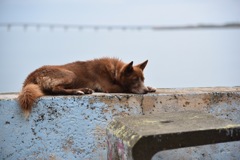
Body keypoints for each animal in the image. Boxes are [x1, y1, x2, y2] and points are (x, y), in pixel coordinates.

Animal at [17, 57, 156, 116]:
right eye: (134, 80)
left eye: (143, 79)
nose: (144, 91)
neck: (114, 71)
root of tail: (33, 74)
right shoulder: (109, 87)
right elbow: (125, 87)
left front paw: (150, 88)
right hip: (70, 74)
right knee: (55, 89)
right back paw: (79, 91)